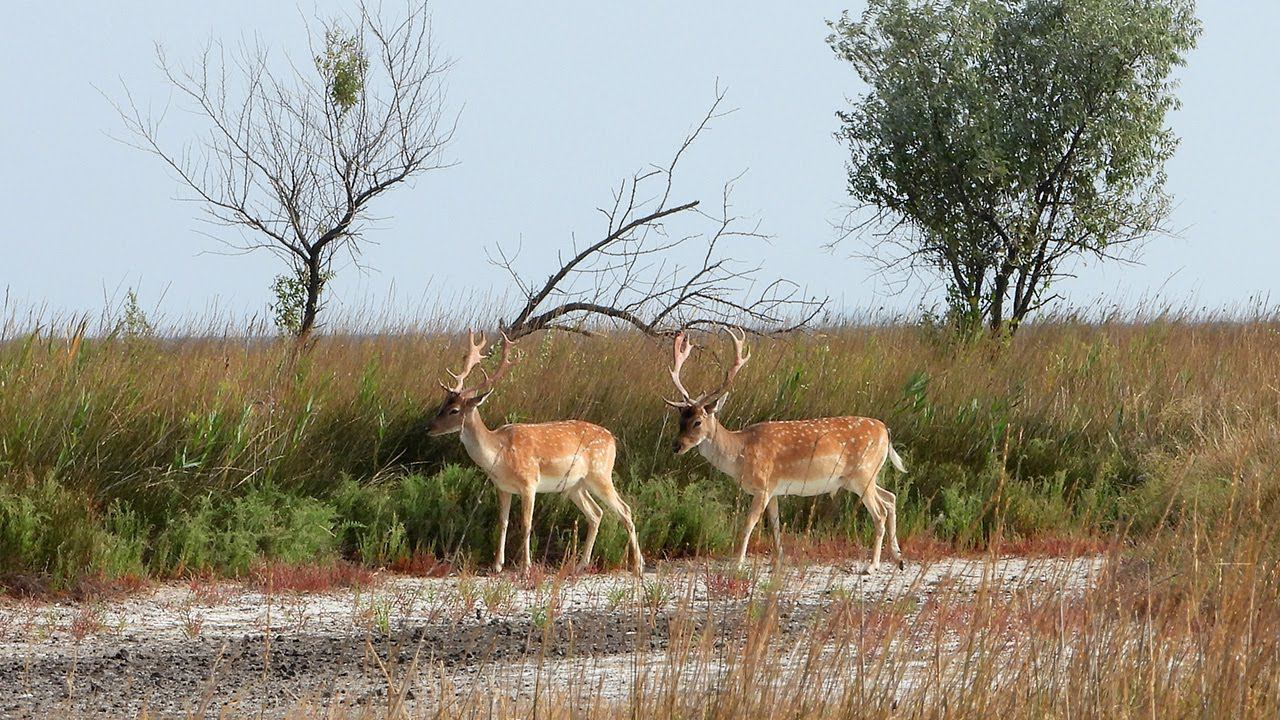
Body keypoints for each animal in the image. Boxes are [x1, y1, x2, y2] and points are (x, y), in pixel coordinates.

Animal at [427, 331, 645, 576]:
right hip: (575, 485)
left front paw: (525, 567)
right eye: (443, 404)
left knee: (625, 510)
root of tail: (612, 439)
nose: (429, 428)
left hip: (600, 473)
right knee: (596, 514)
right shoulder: (502, 487)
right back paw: (580, 565)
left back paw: (638, 566)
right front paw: (497, 565)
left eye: (454, 410)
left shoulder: (529, 482)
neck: (499, 454)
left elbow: (526, 524)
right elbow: (503, 522)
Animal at [664, 328, 907, 573]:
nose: (676, 446)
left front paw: (738, 562)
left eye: (697, 422)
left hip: (863, 474)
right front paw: (779, 560)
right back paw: (898, 558)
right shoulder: (774, 490)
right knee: (891, 498)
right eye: (679, 420)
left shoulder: (762, 487)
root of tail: (885, 430)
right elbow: (775, 525)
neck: (741, 452)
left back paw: (872, 565)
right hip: (861, 477)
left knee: (880, 512)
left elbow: (748, 524)